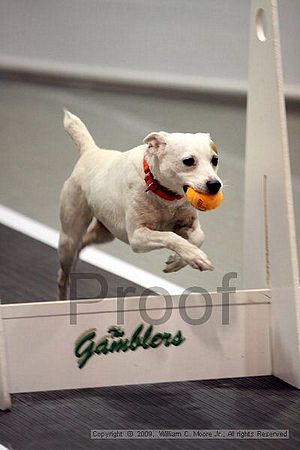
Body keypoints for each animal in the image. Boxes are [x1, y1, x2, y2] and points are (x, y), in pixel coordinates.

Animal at [58, 110, 223, 298]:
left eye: (215, 160)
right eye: (189, 161)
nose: (215, 185)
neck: (164, 195)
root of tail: (90, 151)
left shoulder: (186, 224)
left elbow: (198, 237)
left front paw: (179, 260)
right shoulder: (138, 237)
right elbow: (169, 236)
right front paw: (194, 256)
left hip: (105, 233)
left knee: (83, 243)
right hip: (69, 237)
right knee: (64, 273)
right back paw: (63, 296)